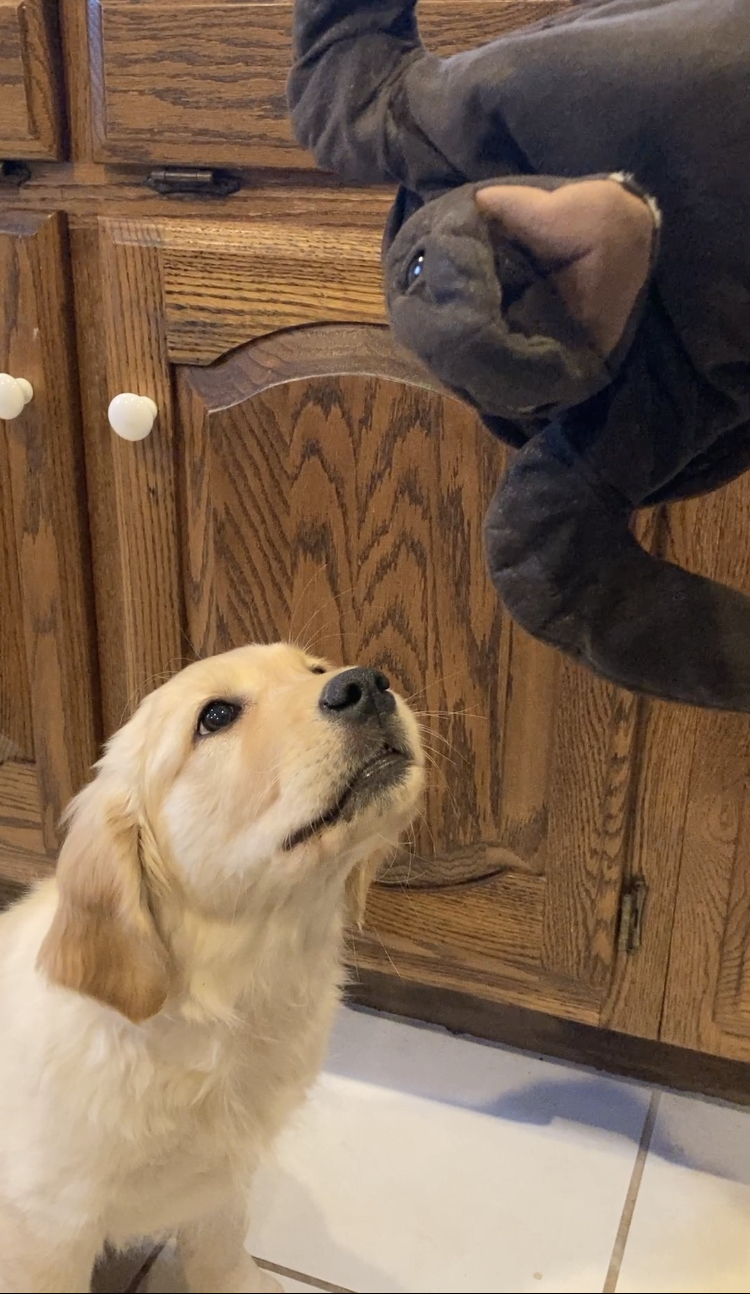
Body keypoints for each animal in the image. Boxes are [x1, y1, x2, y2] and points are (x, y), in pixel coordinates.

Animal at [0, 647, 421, 1294]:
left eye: (314, 668)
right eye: (216, 716)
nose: (367, 685)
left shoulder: (222, 1175)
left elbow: (219, 1239)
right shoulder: (46, 1225)